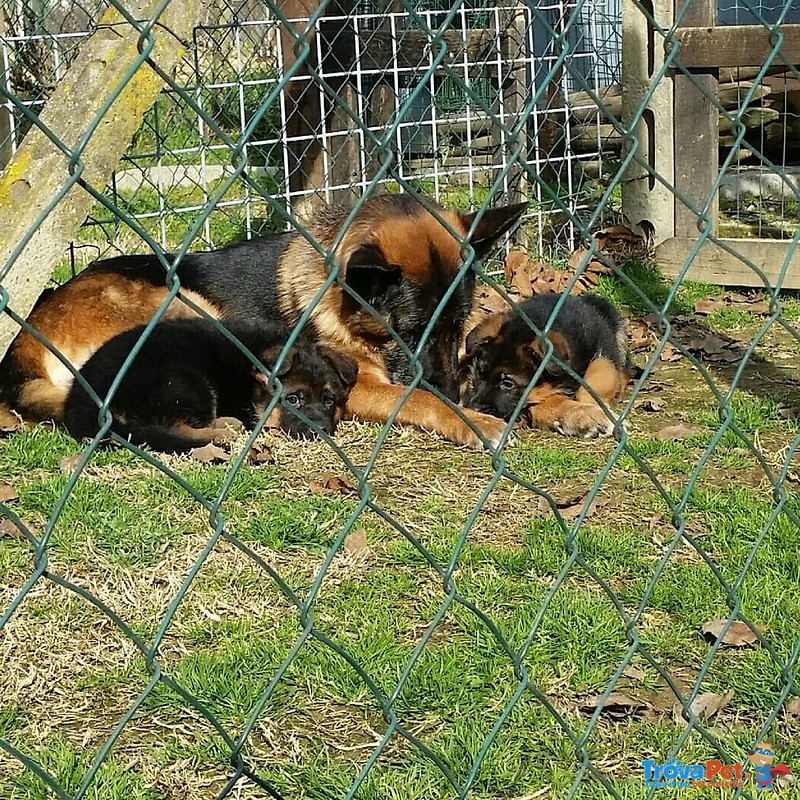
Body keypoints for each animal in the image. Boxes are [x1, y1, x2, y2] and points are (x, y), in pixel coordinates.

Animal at [64, 318, 358, 456]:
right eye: (294, 399)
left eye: (329, 400)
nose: (321, 430)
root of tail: (80, 406)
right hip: (184, 382)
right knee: (172, 427)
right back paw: (223, 433)